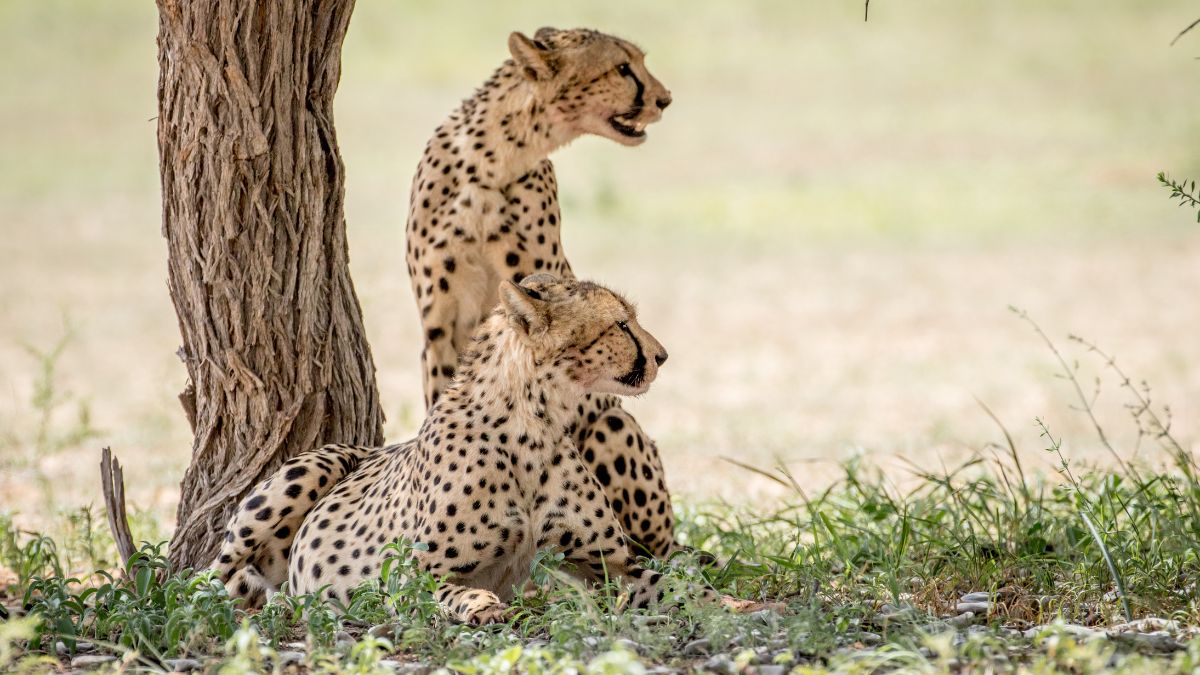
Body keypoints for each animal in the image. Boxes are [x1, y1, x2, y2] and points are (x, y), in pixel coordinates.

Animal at [212, 273, 734, 619]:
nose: (663, 356)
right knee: (213, 578)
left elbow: (675, 584)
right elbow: (451, 589)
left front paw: (731, 604)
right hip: (312, 467)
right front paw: (483, 603)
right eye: (621, 325)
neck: (536, 421)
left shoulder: (607, 563)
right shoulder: (405, 572)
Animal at [405, 27, 681, 557]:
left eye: (639, 62)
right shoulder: (438, 324)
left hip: (614, 427)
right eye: (622, 67)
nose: (665, 99)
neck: (495, 161)